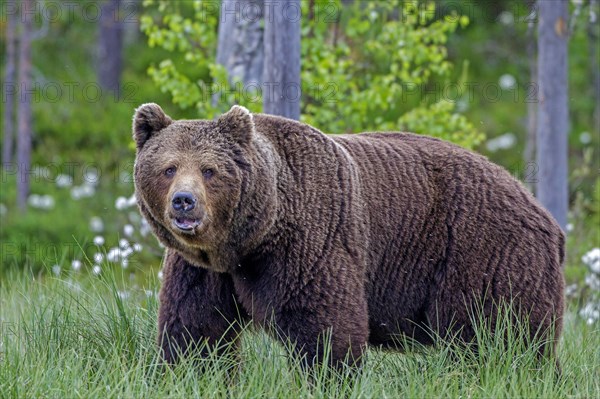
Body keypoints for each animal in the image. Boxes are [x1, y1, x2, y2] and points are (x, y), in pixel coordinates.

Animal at [130, 102, 564, 368]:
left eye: (209, 170)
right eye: (169, 168)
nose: (184, 202)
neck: (248, 242)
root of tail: (543, 212)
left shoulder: (310, 242)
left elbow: (325, 330)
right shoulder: (201, 269)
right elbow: (194, 331)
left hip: (486, 254)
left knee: (506, 338)